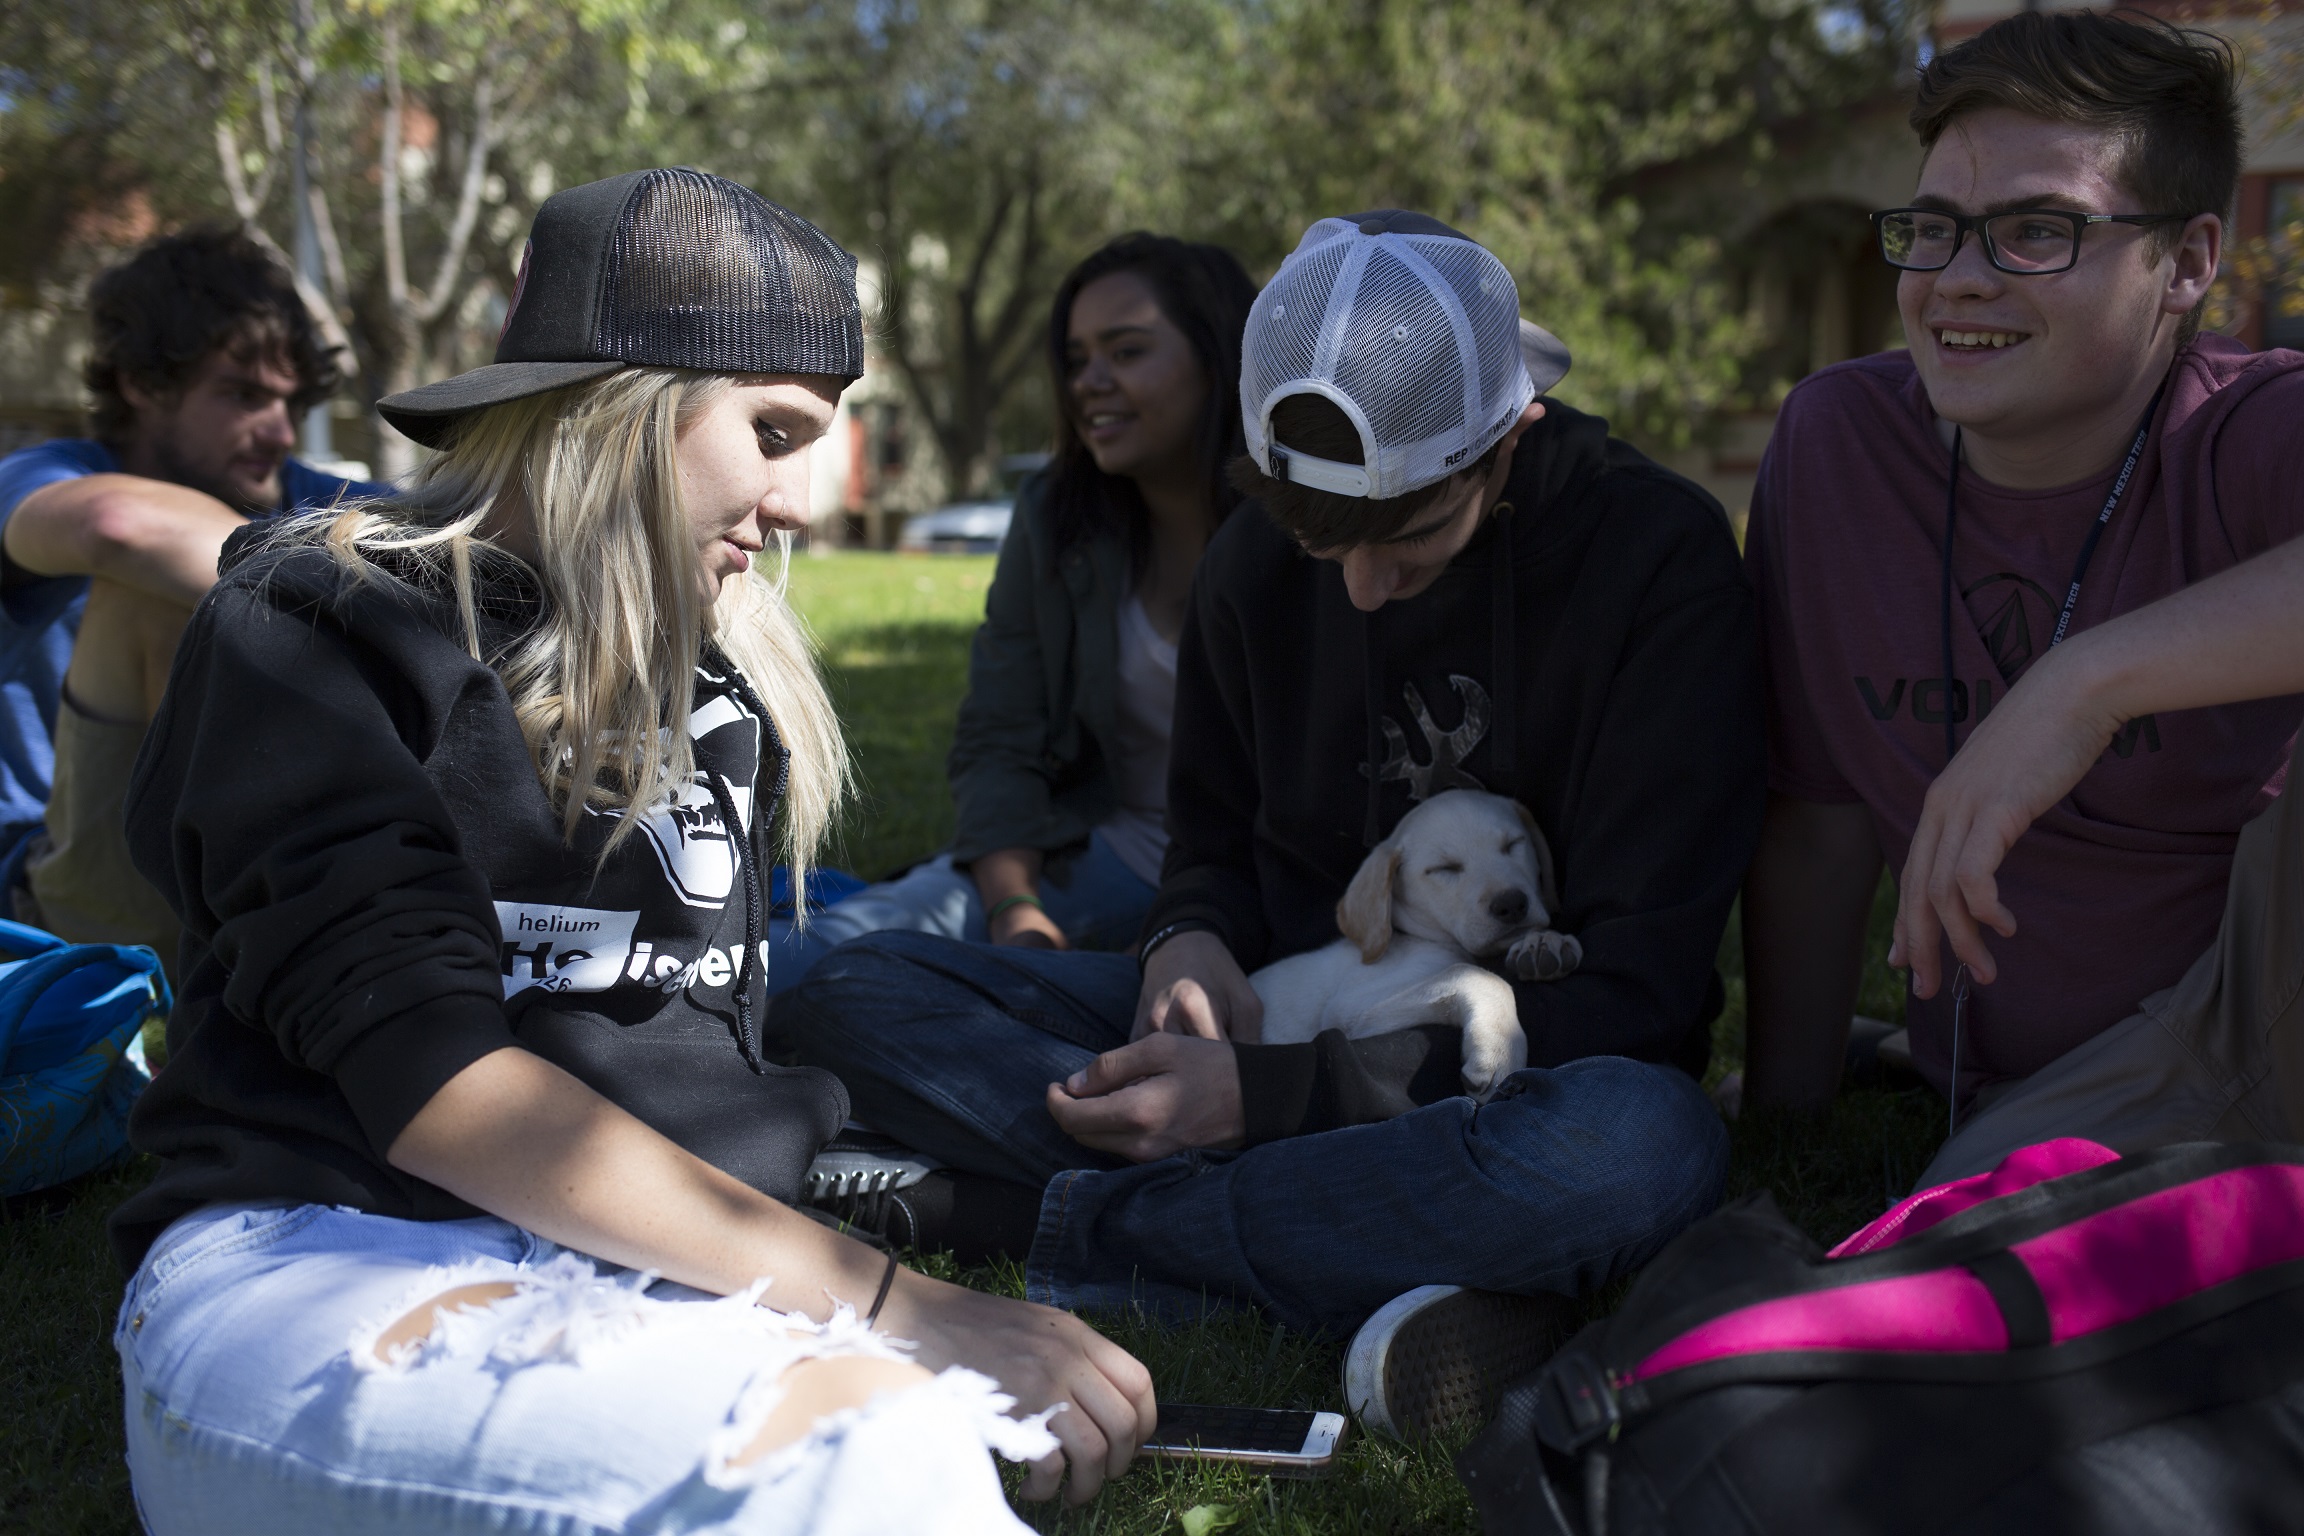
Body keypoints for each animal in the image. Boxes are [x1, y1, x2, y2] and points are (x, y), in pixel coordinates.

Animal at [1244, 787, 1585, 1100]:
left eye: (1514, 844)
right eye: (1445, 868)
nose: (1511, 904)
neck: (1426, 938)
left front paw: (1544, 944)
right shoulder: (1351, 1009)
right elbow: (1479, 977)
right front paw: (1500, 1050)